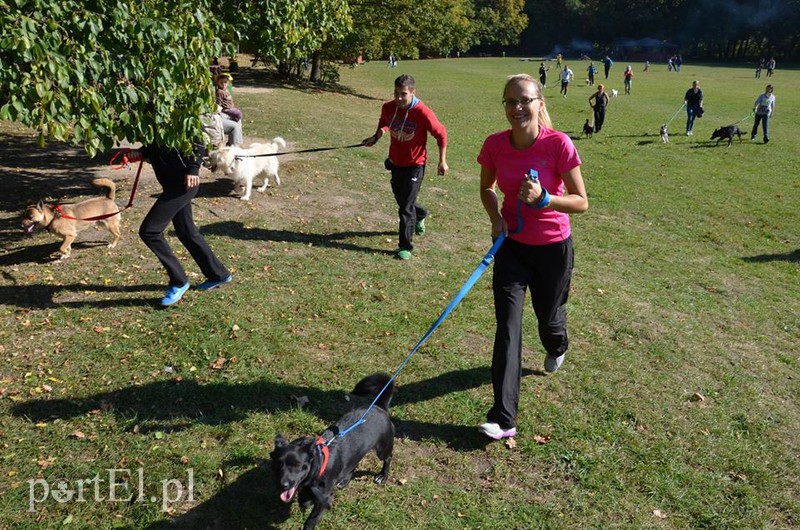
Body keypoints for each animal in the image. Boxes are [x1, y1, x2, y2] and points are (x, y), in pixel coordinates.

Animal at [272, 372, 394, 528]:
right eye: (278, 464)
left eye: (297, 466)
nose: (283, 484)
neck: (317, 465)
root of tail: (379, 407)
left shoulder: (325, 498)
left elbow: (311, 520)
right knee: (352, 464)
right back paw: (344, 480)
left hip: (383, 448)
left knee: (388, 458)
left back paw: (382, 476)